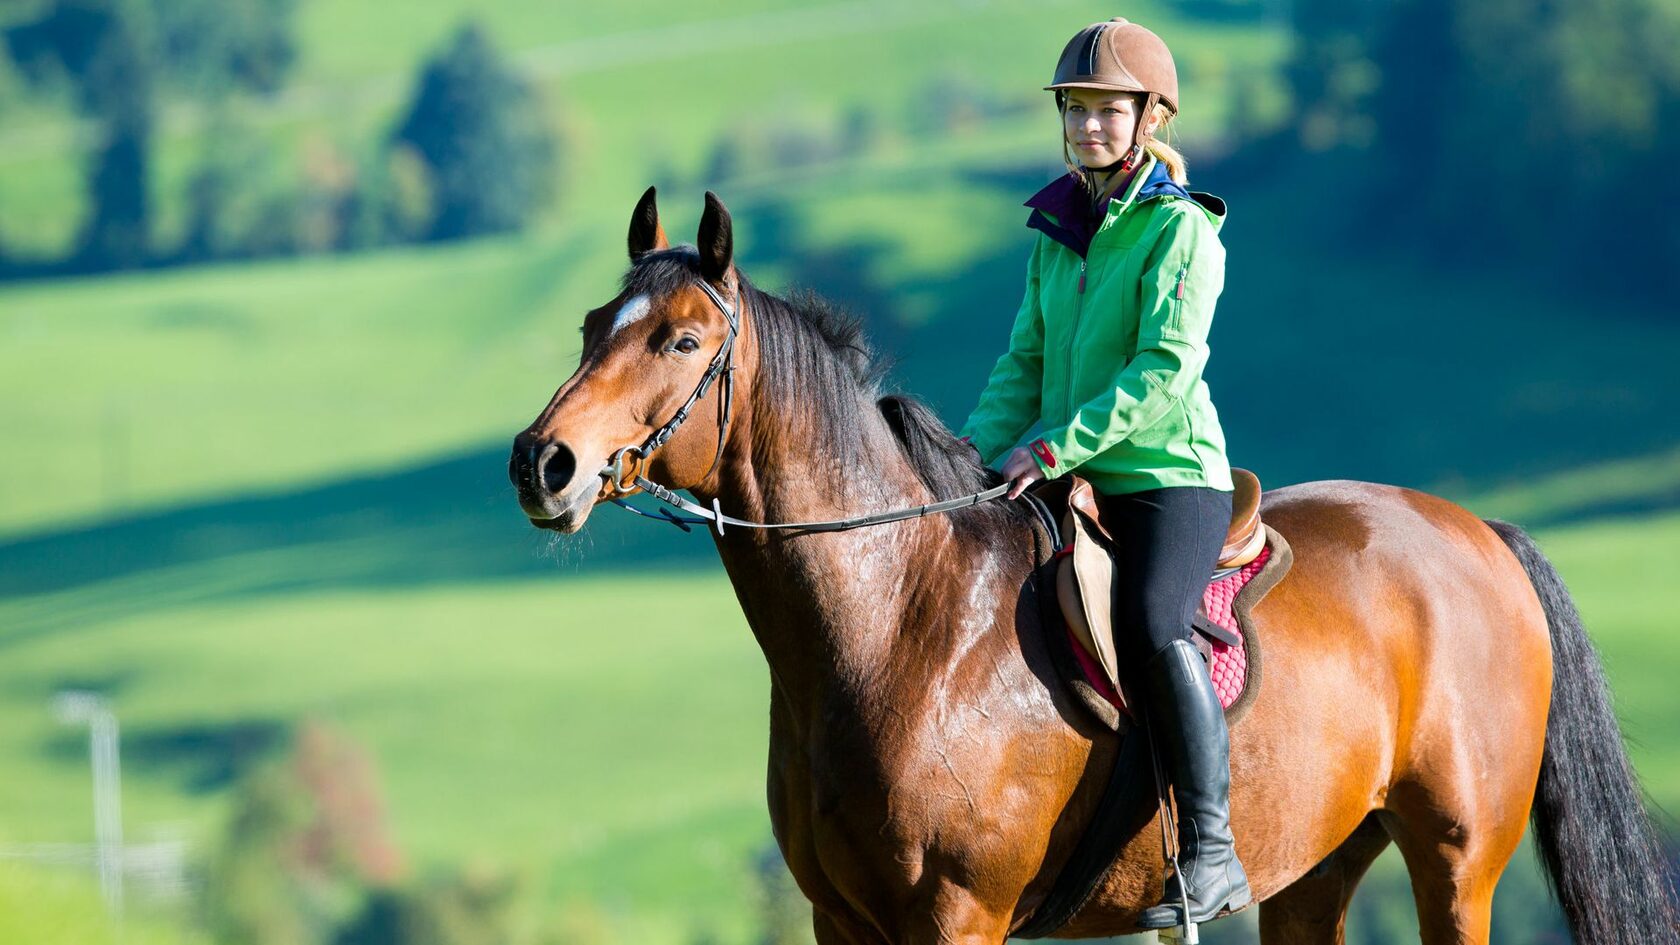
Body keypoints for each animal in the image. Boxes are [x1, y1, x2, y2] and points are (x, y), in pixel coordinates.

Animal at [510, 185, 1680, 941]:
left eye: (679, 340)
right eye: (592, 324)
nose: (542, 462)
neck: (899, 622)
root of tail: (1480, 533)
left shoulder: (955, 915)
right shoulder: (838, 919)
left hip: (1455, 862)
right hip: (1315, 866)